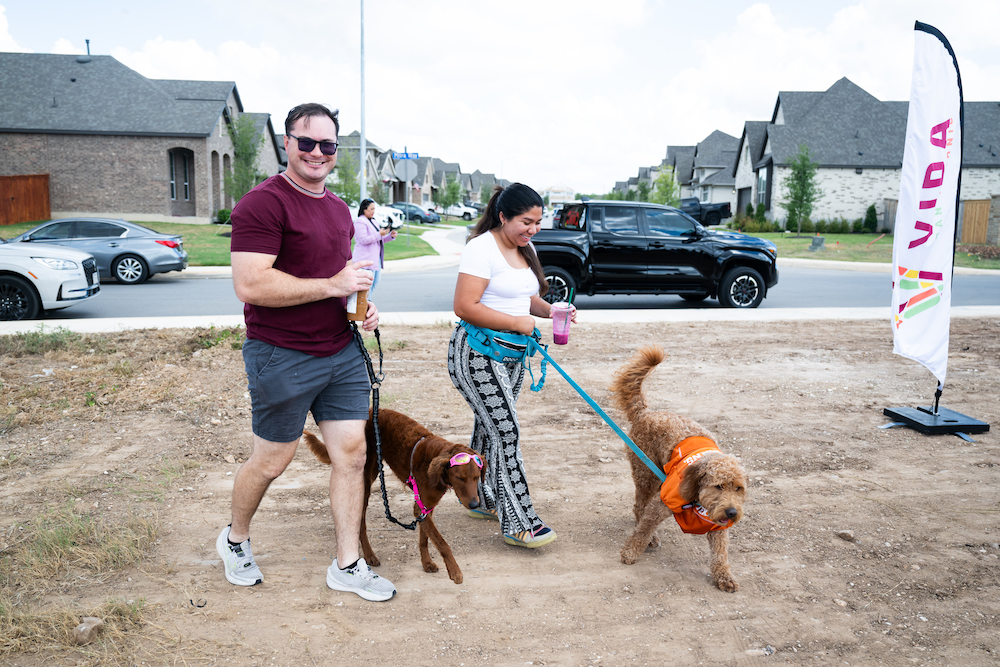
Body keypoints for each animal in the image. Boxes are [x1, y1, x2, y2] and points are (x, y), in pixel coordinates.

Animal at [302, 408, 486, 584]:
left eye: (477, 477)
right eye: (460, 478)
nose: (475, 505)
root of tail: (371, 411)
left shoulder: (425, 508)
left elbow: (425, 539)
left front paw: (426, 563)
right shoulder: (421, 507)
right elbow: (443, 543)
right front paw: (455, 572)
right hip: (365, 481)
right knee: (360, 523)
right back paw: (369, 555)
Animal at [608, 348, 744, 592]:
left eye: (738, 488)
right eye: (718, 486)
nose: (731, 513)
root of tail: (645, 413)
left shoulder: (718, 526)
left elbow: (720, 553)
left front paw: (724, 576)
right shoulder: (661, 504)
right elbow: (642, 530)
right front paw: (630, 552)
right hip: (646, 475)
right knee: (639, 507)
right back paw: (651, 537)